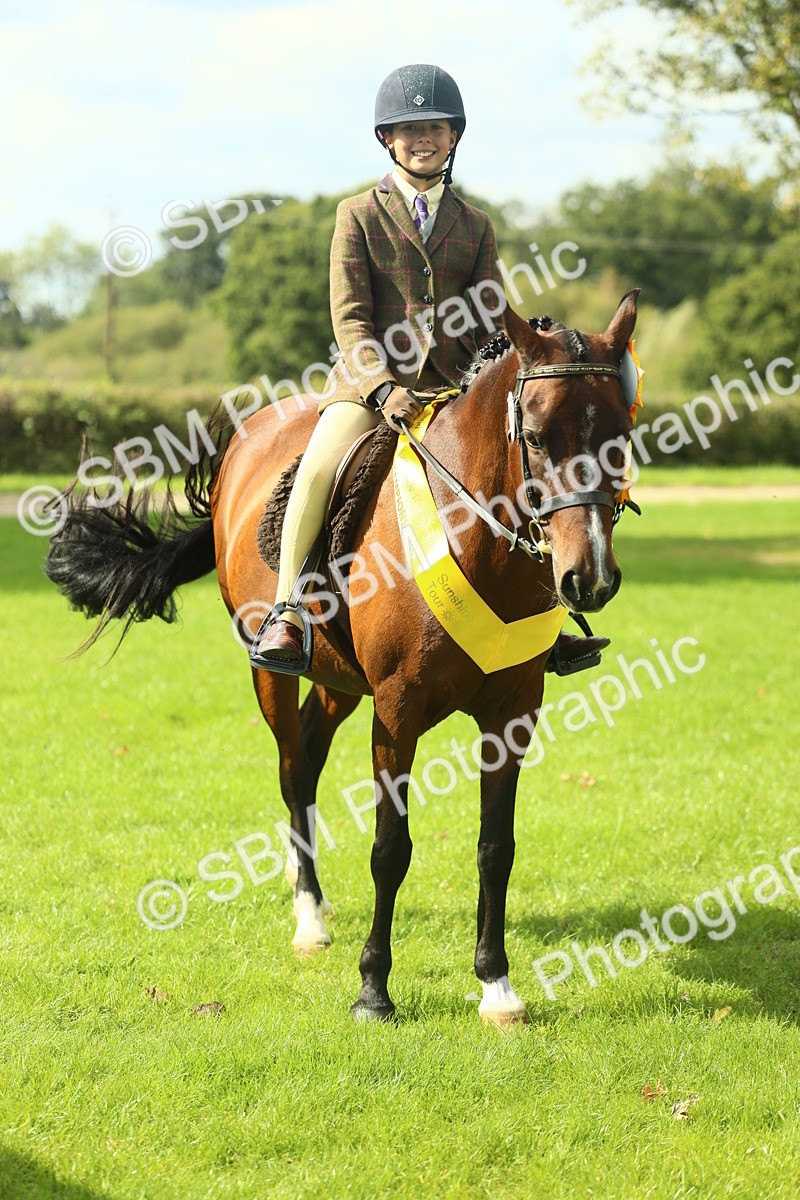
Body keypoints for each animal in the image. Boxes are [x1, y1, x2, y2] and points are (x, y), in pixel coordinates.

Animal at [45, 293, 639, 1026]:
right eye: (534, 436)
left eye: (622, 434)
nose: (590, 579)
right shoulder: (398, 710)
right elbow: (391, 848)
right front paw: (374, 990)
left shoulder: (513, 714)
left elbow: (495, 849)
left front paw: (497, 987)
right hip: (269, 672)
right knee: (294, 770)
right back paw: (309, 918)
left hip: (339, 683)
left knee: (310, 745)